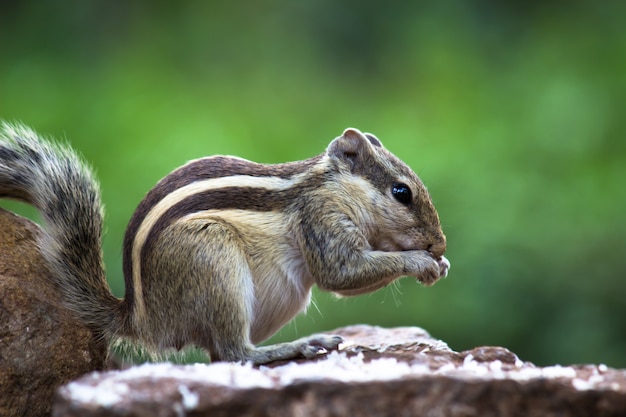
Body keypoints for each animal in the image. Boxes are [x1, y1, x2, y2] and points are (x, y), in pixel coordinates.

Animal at [0, 122, 448, 362]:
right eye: (401, 192)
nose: (440, 245)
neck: (332, 186)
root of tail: (144, 320)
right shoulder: (321, 219)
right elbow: (340, 273)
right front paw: (421, 262)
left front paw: (438, 265)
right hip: (214, 262)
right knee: (236, 353)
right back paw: (297, 346)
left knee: (220, 356)